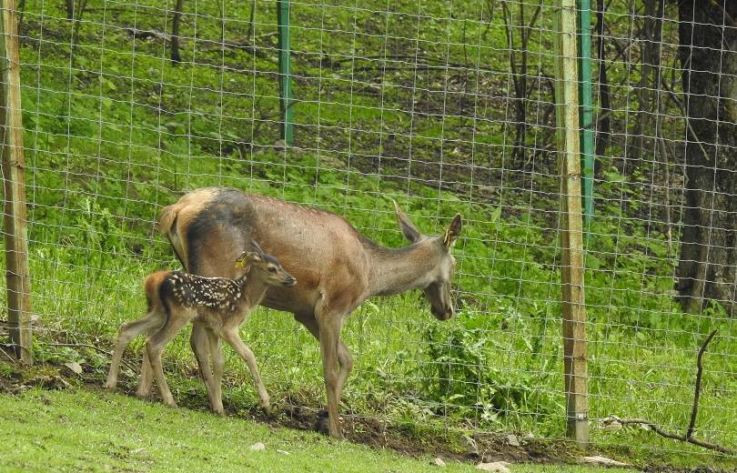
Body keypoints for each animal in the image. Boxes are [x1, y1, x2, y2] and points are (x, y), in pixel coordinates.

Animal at [105, 242, 294, 412]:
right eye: (271, 268)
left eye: (281, 265)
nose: (291, 279)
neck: (245, 298)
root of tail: (152, 281)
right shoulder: (228, 327)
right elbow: (249, 355)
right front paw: (266, 403)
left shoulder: (212, 328)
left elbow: (218, 362)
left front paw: (218, 406)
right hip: (180, 313)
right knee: (154, 344)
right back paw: (169, 400)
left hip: (159, 312)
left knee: (127, 329)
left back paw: (111, 384)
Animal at [160, 187, 460, 436]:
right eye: (455, 264)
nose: (447, 310)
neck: (371, 276)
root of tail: (178, 208)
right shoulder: (333, 307)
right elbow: (330, 369)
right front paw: (336, 431)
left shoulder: (305, 313)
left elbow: (348, 359)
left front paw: (323, 418)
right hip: (214, 272)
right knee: (196, 339)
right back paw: (214, 402)